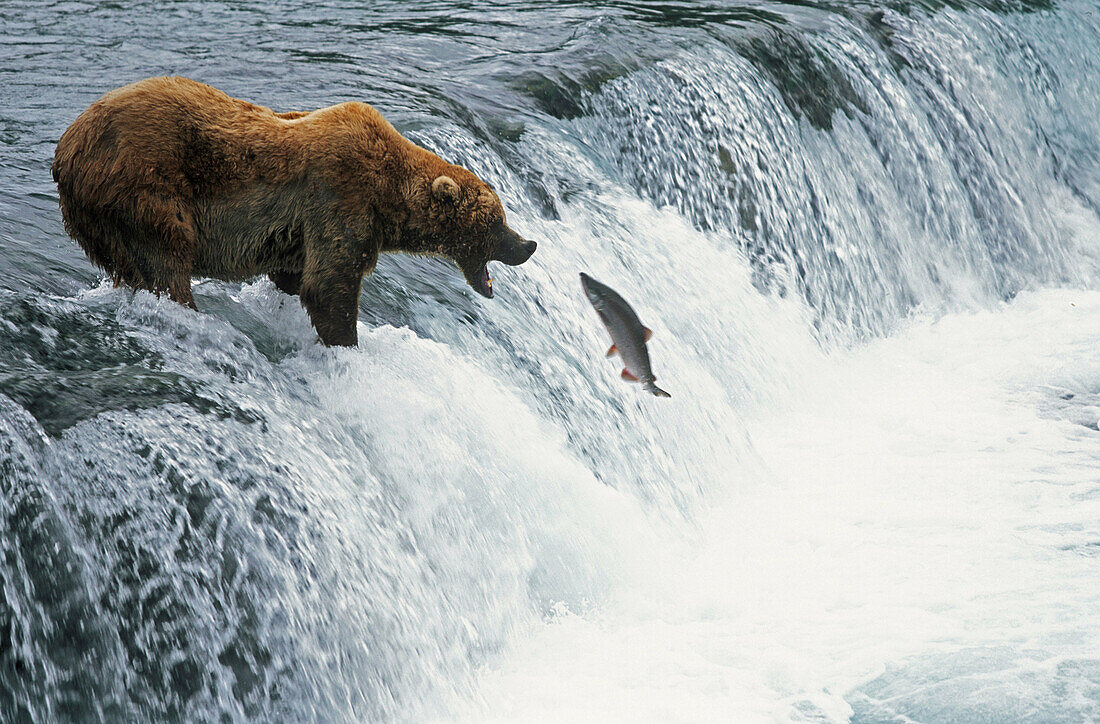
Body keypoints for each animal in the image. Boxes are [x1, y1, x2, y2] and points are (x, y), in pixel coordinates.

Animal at [51, 75, 536, 343]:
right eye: (496, 222)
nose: (528, 244)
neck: (389, 197)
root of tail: (67, 147)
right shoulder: (341, 196)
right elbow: (330, 284)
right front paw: (346, 344)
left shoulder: (297, 232)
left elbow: (294, 275)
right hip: (141, 185)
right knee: (165, 258)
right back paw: (186, 309)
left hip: (97, 218)